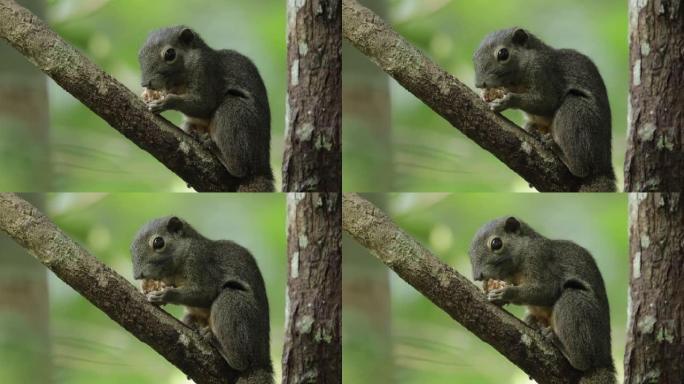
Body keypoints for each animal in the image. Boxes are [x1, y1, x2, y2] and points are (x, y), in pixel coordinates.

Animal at [130, 216, 272, 384]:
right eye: (131, 249)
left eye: (158, 242)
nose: (137, 275)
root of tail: (262, 360)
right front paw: (146, 287)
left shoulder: (201, 264)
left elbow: (205, 293)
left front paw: (165, 295)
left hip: (232, 303)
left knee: (241, 362)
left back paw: (216, 343)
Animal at [138, 25, 274, 192]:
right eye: (140, 53)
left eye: (170, 54)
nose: (145, 83)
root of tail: (262, 167)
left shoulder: (207, 73)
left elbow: (204, 105)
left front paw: (165, 102)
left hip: (234, 112)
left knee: (240, 168)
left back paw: (213, 148)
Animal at [468, 218, 616, 382]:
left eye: (496, 243)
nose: (477, 277)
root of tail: (604, 357)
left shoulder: (540, 260)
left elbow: (547, 290)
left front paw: (506, 293)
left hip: (574, 304)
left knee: (582, 362)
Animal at [472, 27, 616, 192]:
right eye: (474, 55)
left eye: (503, 54)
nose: (479, 84)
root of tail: (604, 165)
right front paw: (485, 94)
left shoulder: (544, 73)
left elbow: (547, 102)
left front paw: (507, 101)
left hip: (576, 112)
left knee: (581, 169)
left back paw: (556, 150)